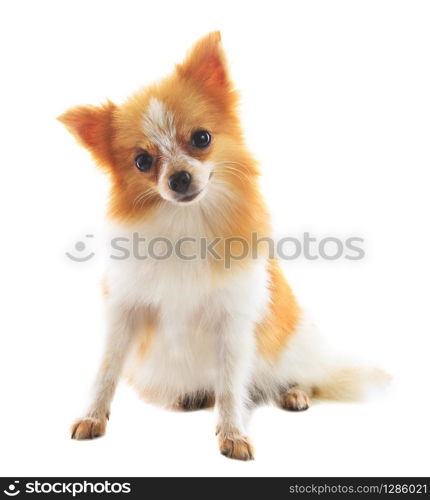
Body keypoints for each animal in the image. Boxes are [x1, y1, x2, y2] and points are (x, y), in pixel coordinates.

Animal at [58, 31, 386, 460]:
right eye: (143, 161)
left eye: (202, 138)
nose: (179, 178)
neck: (187, 221)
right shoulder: (126, 309)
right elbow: (106, 370)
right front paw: (92, 416)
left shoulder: (232, 321)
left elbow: (231, 385)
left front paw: (233, 434)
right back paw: (192, 396)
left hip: (296, 341)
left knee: (304, 377)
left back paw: (293, 392)